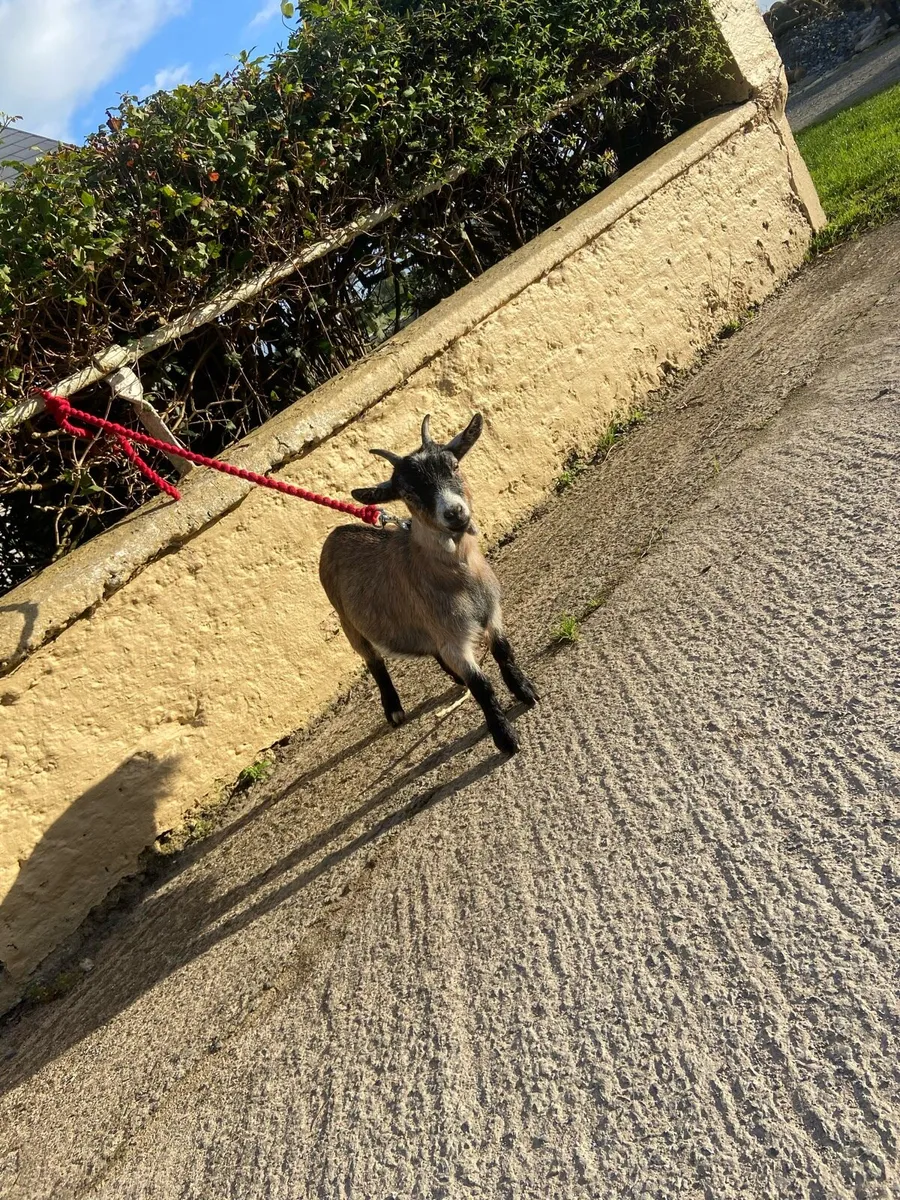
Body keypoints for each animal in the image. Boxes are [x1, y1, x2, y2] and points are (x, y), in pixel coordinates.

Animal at [318, 413, 538, 755]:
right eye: (408, 493)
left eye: (454, 465)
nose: (454, 512)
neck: (458, 576)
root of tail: (334, 535)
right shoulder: (452, 637)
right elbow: (481, 685)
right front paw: (505, 737)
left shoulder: (489, 613)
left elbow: (503, 651)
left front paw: (525, 690)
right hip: (350, 626)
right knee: (374, 661)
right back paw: (394, 709)